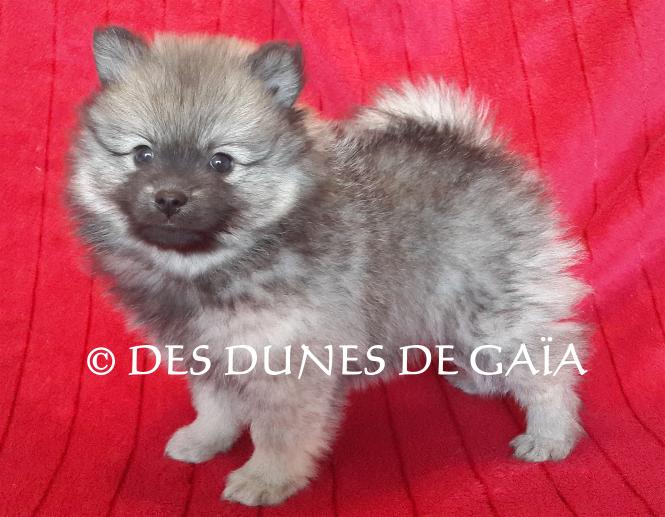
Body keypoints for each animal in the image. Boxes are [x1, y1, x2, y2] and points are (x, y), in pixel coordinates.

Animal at [67, 26, 589, 506]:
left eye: (221, 162)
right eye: (142, 154)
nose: (170, 198)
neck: (213, 266)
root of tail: (472, 148)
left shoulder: (289, 364)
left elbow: (278, 433)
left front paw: (265, 479)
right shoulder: (208, 352)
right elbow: (215, 406)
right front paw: (204, 439)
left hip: (490, 308)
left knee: (545, 366)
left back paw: (550, 435)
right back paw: (478, 382)